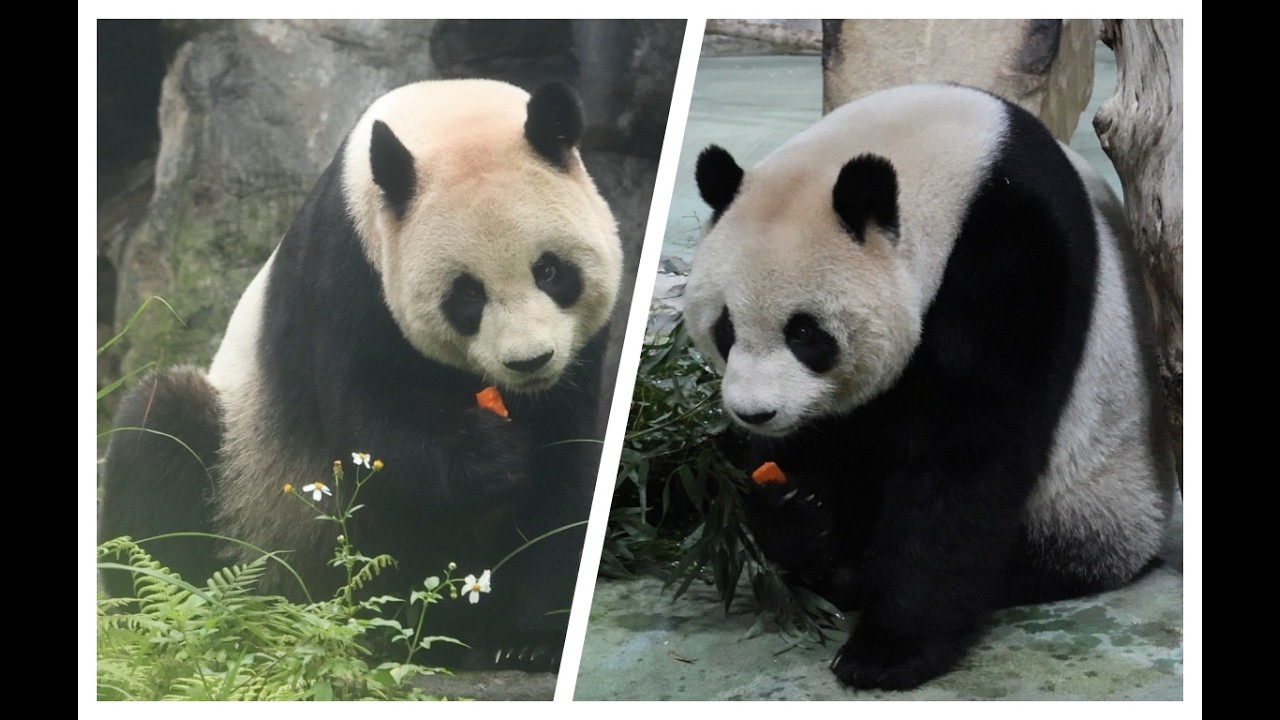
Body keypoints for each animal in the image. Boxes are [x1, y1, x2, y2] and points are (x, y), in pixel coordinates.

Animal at [99, 79, 623, 669]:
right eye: (467, 294)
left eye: (550, 270)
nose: (528, 361)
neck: (445, 114)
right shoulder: (344, 274)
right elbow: (370, 427)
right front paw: (488, 452)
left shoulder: (579, 351)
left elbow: (566, 467)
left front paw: (529, 640)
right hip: (251, 493)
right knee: (163, 428)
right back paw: (183, 617)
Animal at [685, 83, 1177, 691]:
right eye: (725, 328)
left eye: (805, 334)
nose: (754, 413)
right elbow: (835, 441)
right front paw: (796, 514)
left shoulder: (1017, 252)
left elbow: (965, 456)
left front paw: (888, 650)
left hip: (1096, 498)